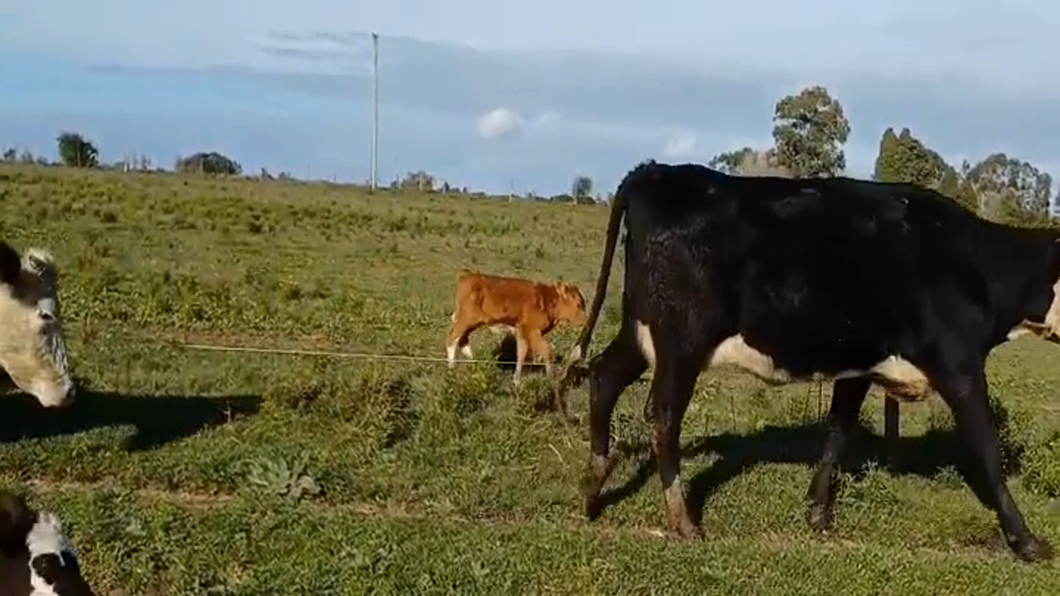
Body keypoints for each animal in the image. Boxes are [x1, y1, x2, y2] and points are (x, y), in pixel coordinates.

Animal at [445, 270, 589, 381]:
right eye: (578, 304)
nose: (585, 320)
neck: (547, 300)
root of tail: (468, 276)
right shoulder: (531, 329)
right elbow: (546, 350)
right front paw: (550, 377)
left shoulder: (521, 331)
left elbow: (521, 353)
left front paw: (517, 380)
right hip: (465, 319)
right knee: (452, 338)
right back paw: (452, 367)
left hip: (474, 322)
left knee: (463, 340)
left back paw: (475, 363)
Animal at [559, 159, 1055, 559]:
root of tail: (657, 171)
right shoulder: (959, 365)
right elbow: (986, 445)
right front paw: (1026, 541)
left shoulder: (861, 364)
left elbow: (838, 431)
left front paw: (818, 515)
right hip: (683, 338)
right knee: (662, 412)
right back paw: (682, 521)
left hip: (641, 331)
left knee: (604, 377)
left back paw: (593, 488)